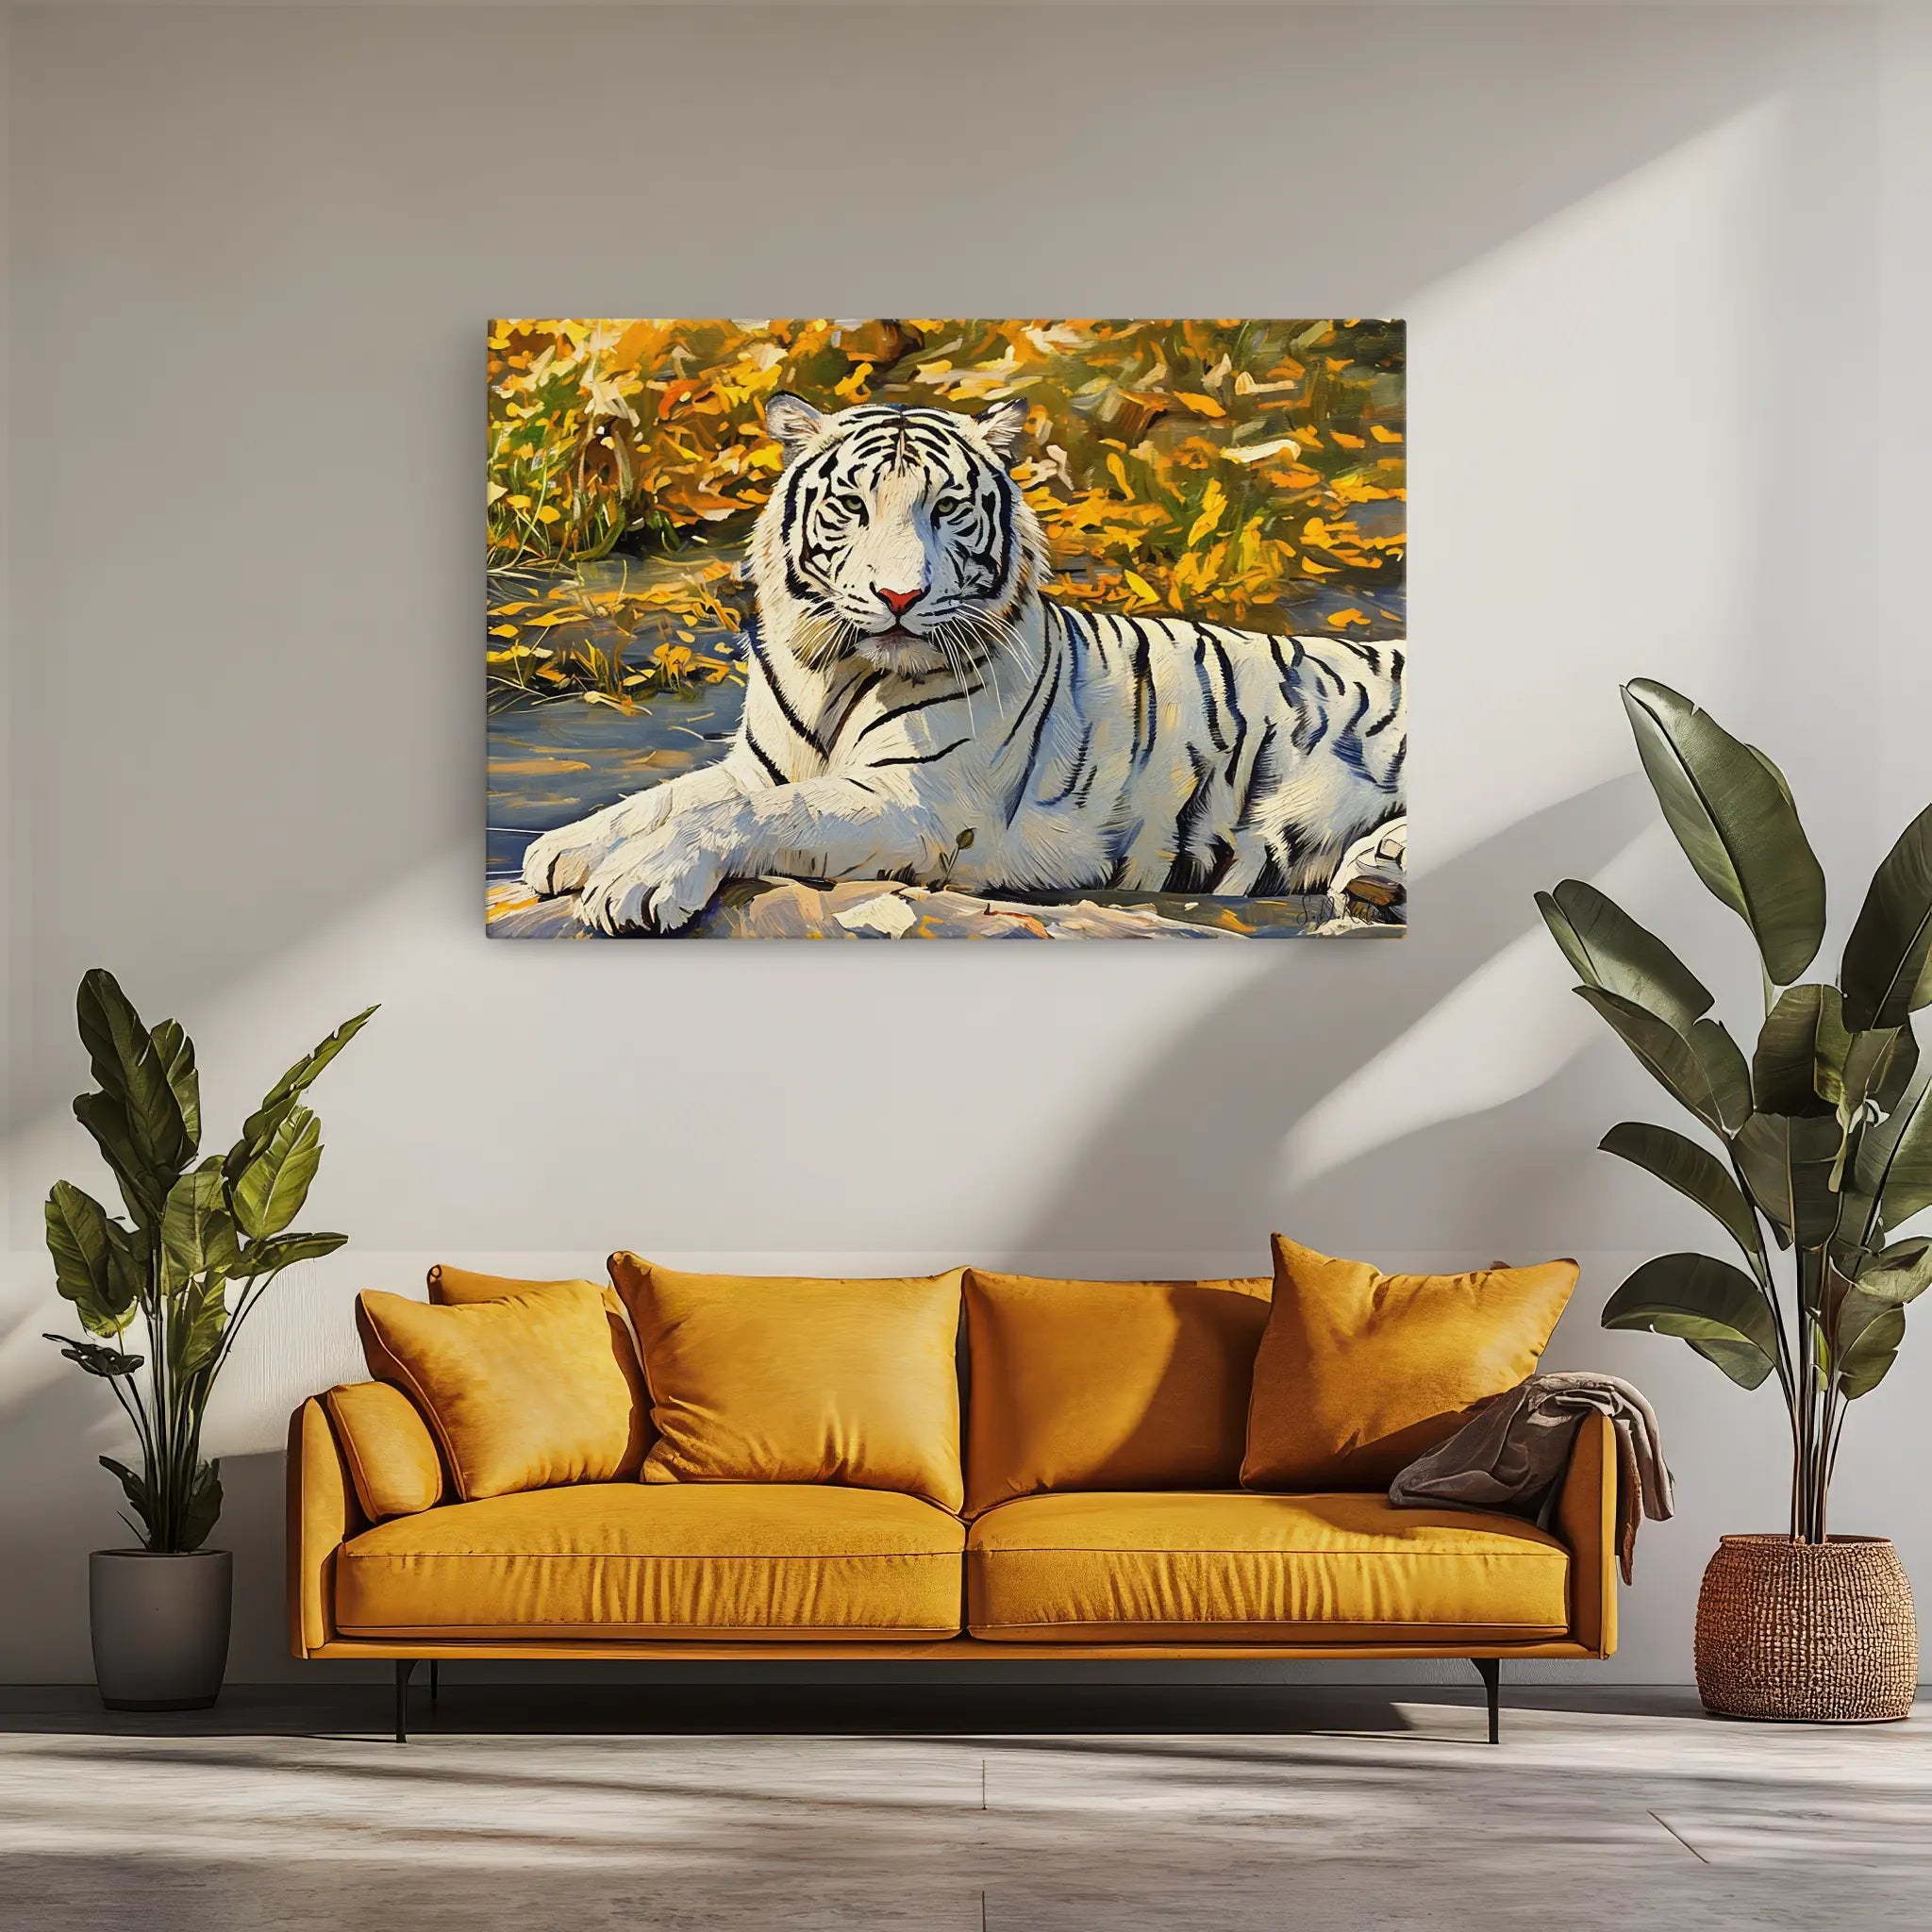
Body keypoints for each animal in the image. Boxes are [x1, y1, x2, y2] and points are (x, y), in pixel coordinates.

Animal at [519, 393, 1406, 935]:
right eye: (852, 507)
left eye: (946, 509)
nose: (899, 594)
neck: (835, 671)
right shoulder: (759, 764)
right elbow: (670, 797)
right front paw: (564, 847)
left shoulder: (916, 801)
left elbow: (748, 816)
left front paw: (636, 882)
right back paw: (1377, 874)